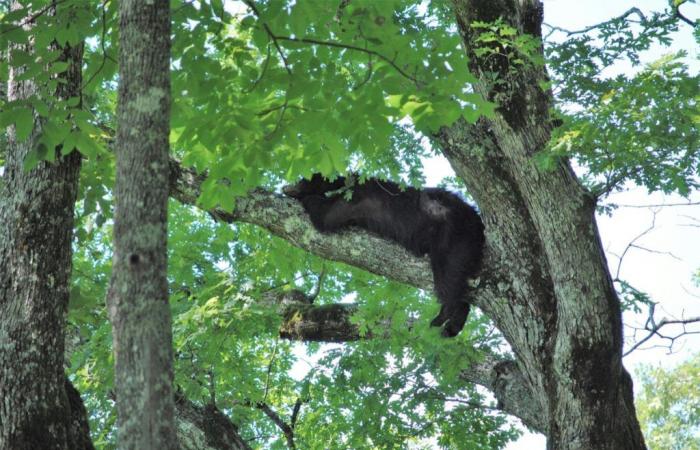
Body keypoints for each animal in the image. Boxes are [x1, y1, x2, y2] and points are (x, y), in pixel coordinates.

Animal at [282, 174, 484, 336]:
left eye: (301, 179)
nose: (285, 187)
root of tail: (474, 217)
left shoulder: (355, 200)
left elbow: (326, 215)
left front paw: (306, 198)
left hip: (452, 236)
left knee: (447, 276)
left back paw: (443, 315)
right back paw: (454, 325)